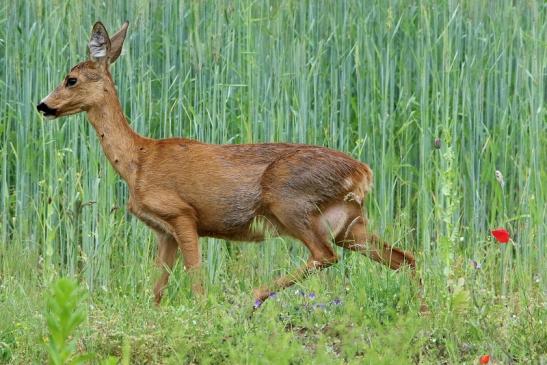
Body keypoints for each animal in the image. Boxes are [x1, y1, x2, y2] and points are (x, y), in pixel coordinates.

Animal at [37, 22, 416, 304]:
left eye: (70, 79)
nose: (42, 105)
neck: (138, 161)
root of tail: (363, 171)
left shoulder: (182, 214)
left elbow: (197, 284)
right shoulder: (164, 232)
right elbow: (156, 292)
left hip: (289, 202)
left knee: (326, 256)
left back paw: (253, 297)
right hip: (348, 223)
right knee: (405, 259)